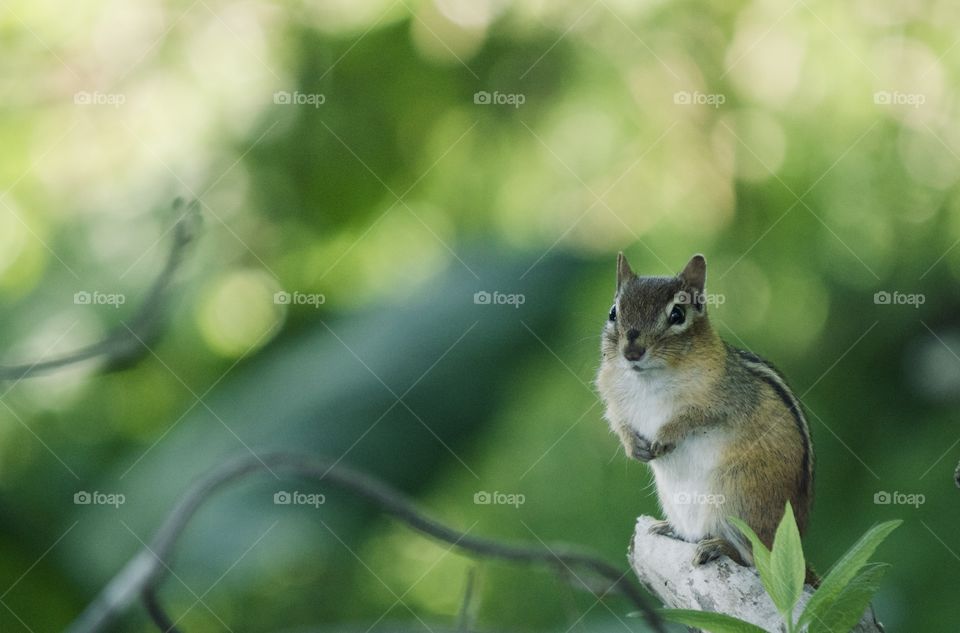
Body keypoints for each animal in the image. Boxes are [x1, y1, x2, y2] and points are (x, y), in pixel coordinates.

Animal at [596, 252, 814, 578]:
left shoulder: (723, 400)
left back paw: (717, 546)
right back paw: (670, 529)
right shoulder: (614, 401)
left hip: (739, 499)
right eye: (613, 312)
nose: (632, 352)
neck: (649, 378)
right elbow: (619, 422)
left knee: (753, 559)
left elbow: (692, 419)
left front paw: (665, 437)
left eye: (677, 315)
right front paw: (633, 446)